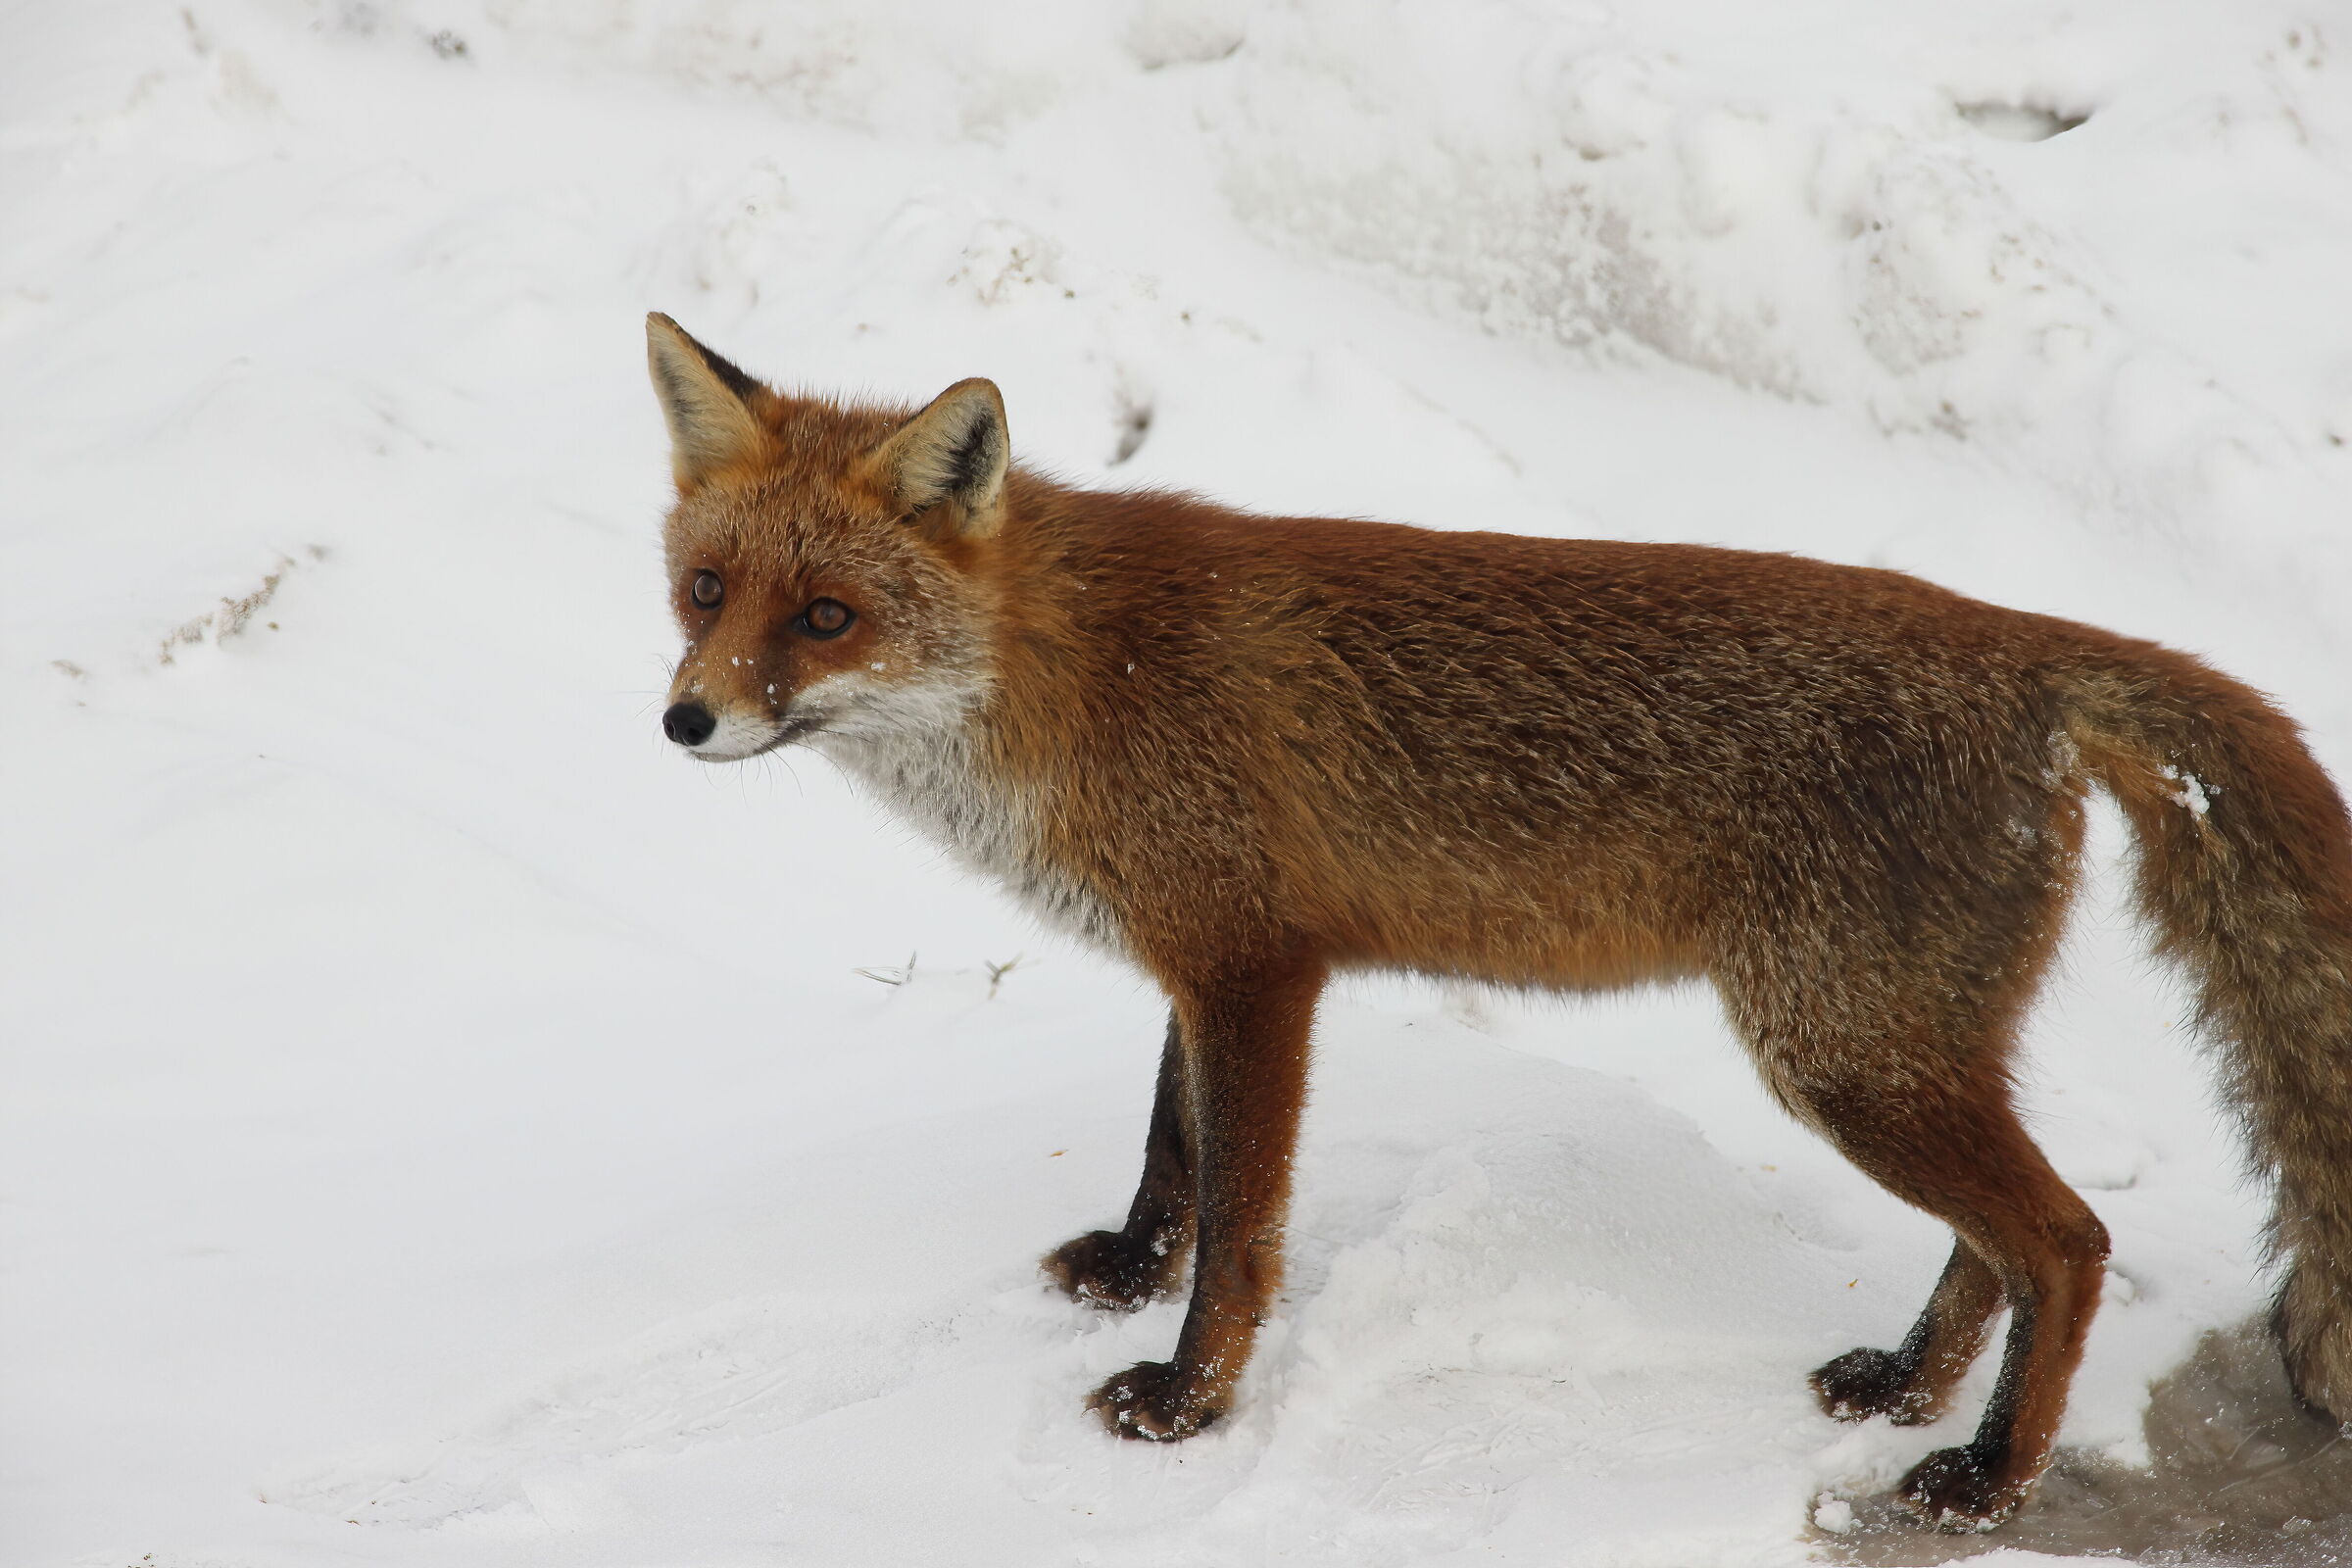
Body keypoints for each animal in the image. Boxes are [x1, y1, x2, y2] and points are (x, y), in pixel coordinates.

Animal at [642, 311, 2352, 1531]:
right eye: (707, 591)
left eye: (827, 618)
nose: (684, 723)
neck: (1064, 671)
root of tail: (2025, 640)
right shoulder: (1202, 956)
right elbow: (1168, 1147)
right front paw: (1130, 1270)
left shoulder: (1259, 971)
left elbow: (1241, 1224)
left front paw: (1187, 1405)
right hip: (1904, 1051)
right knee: (1998, 1244)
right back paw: (1911, 1389)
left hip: (1843, 1053)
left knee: (2067, 1242)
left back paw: (1988, 1481)